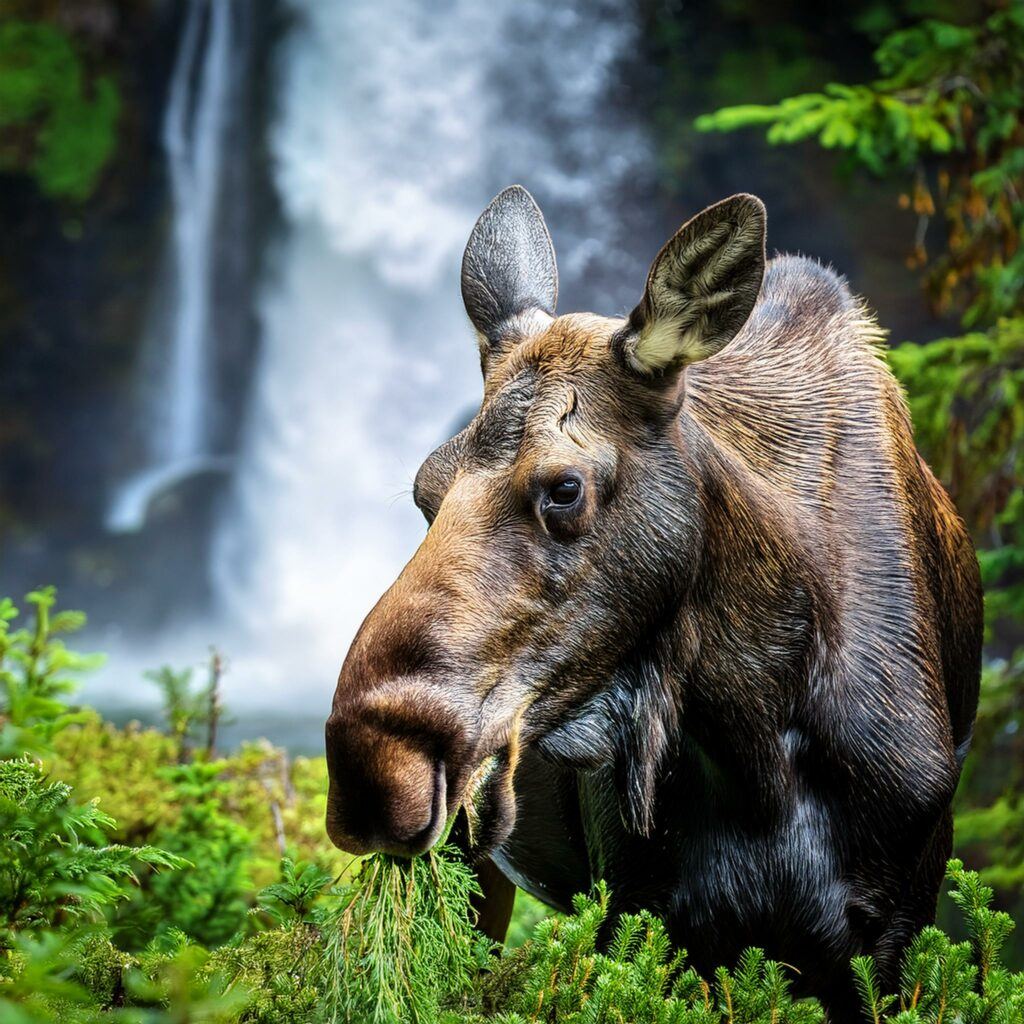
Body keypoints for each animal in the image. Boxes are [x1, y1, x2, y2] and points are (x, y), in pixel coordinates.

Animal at [327, 186, 983, 1015]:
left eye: (564, 487)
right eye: (424, 492)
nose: (375, 771)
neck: (758, 743)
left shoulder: (892, 931)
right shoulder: (641, 910)